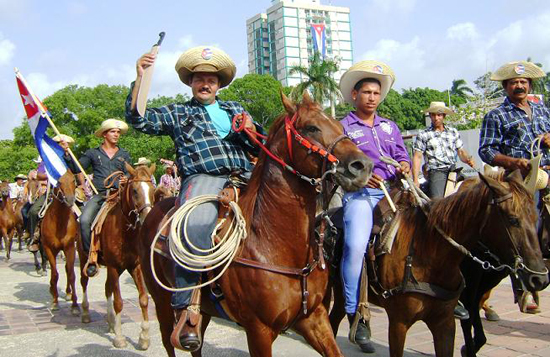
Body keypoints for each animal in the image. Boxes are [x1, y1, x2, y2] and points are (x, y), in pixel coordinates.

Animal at [40, 171, 81, 312]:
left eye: (74, 180)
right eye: (58, 181)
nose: (69, 199)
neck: (59, 222)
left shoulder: (70, 247)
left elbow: (71, 274)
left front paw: (75, 305)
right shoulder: (48, 248)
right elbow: (55, 274)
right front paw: (55, 302)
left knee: (68, 270)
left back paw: (68, 293)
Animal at [77, 163, 156, 350]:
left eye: (153, 190)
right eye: (134, 191)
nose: (147, 218)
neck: (125, 231)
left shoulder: (135, 267)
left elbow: (143, 299)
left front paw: (144, 337)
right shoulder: (113, 267)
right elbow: (119, 302)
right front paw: (120, 338)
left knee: (107, 288)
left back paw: (111, 321)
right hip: (85, 260)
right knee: (84, 283)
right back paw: (85, 312)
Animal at [137, 92, 374, 356]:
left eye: (340, 127)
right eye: (311, 127)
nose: (363, 166)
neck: (273, 244)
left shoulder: (314, 318)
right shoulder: (258, 330)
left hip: (204, 311)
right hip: (161, 302)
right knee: (168, 341)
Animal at [330, 170, 548, 356]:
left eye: (535, 217)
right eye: (513, 220)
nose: (540, 279)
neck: (429, 255)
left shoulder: (445, 323)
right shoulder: (399, 323)